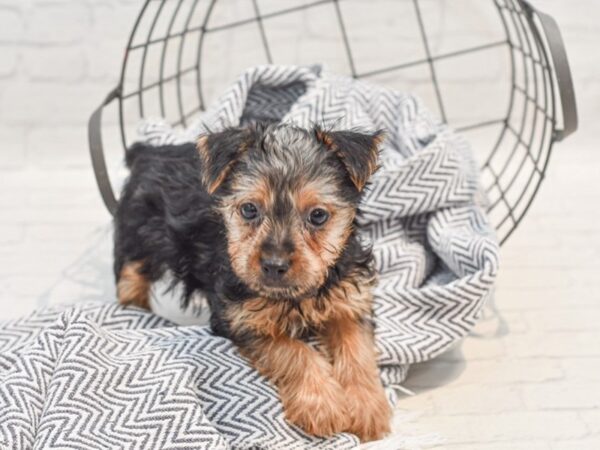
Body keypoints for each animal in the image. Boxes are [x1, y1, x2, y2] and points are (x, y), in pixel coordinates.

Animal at [113, 121, 394, 442]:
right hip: (138, 235)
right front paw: (322, 404)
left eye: (318, 215)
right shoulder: (242, 318)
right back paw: (134, 307)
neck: (296, 295)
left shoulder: (348, 297)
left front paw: (366, 406)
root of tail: (147, 152)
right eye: (249, 209)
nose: (274, 265)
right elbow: (293, 351)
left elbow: (356, 348)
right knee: (131, 274)